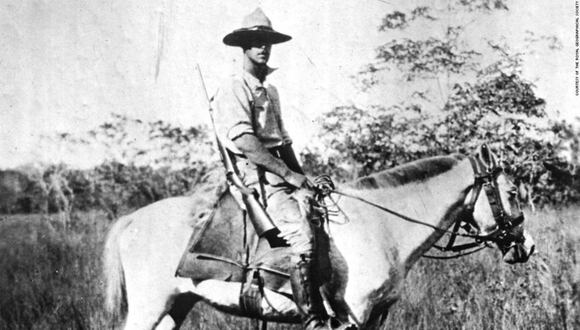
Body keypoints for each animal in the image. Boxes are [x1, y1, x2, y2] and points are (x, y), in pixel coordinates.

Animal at [103, 148, 536, 328]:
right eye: (513, 192)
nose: (527, 245)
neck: (382, 226)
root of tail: (131, 219)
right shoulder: (354, 314)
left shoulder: (374, 317)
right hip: (149, 308)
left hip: (176, 305)